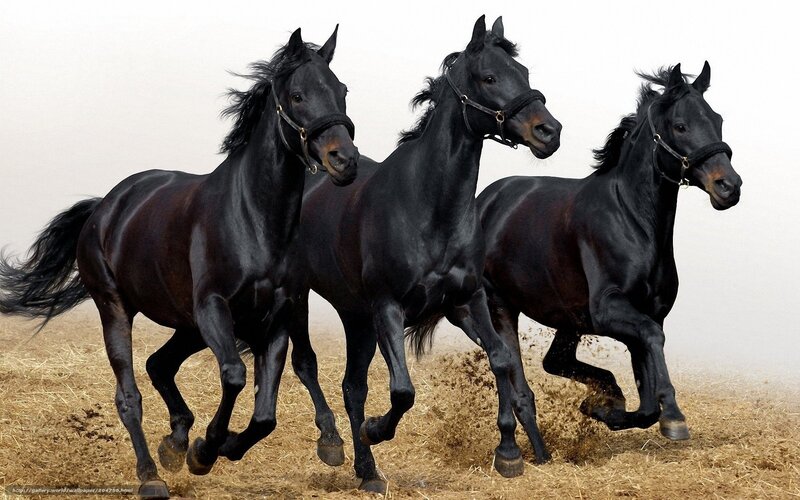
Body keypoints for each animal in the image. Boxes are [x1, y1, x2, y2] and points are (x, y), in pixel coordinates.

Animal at [0, 27, 358, 499]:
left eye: (343, 90)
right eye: (297, 95)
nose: (345, 161)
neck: (254, 219)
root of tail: (105, 207)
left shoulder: (277, 316)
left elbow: (266, 413)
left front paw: (218, 446)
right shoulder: (213, 308)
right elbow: (234, 375)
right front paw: (206, 450)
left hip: (186, 325)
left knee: (159, 364)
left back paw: (174, 442)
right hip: (118, 309)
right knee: (129, 395)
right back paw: (151, 474)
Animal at [284, 16, 560, 492]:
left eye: (523, 73)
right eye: (489, 77)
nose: (549, 132)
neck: (429, 209)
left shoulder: (467, 301)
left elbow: (502, 359)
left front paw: (508, 453)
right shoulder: (388, 309)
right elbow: (402, 391)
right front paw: (376, 430)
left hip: (357, 317)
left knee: (352, 387)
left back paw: (368, 473)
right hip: (304, 297)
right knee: (308, 365)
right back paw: (334, 444)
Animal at [476, 63, 741, 445]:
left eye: (717, 120)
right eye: (680, 125)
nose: (729, 186)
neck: (631, 220)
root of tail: (485, 200)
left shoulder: (646, 313)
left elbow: (647, 401)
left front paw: (604, 409)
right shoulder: (609, 310)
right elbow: (653, 340)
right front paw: (674, 417)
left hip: (568, 318)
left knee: (554, 361)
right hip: (501, 305)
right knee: (516, 372)